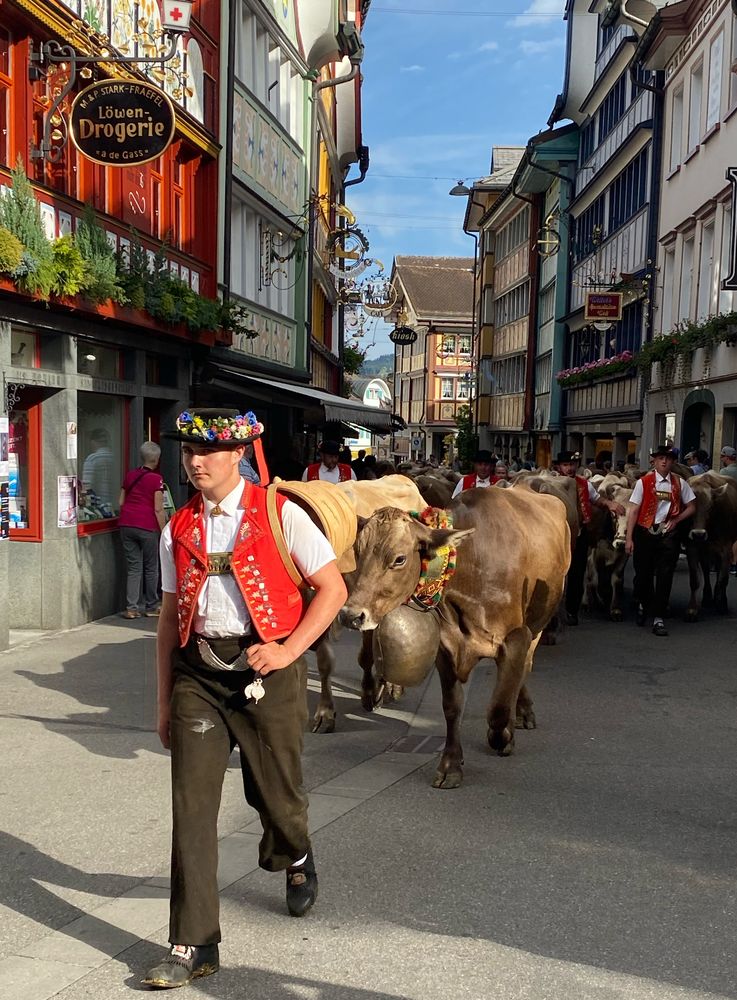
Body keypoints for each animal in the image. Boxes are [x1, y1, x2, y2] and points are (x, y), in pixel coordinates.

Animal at [340, 486, 568, 788]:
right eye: (358, 551)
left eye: (399, 559)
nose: (350, 615)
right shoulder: (446, 649)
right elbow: (451, 707)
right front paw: (450, 765)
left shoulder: (516, 638)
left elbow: (499, 708)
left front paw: (502, 737)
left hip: (538, 625)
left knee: (523, 672)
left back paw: (523, 713)